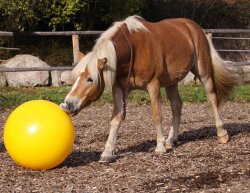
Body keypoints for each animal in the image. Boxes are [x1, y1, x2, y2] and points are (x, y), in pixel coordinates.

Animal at [60, 15, 238, 163]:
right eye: (75, 78)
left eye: (90, 79)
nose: (67, 104)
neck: (133, 47)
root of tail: (194, 27)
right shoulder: (119, 88)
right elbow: (116, 119)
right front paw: (107, 152)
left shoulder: (153, 86)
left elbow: (156, 116)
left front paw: (159, 147)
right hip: (171, 82)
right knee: (177, 105)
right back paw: (170, 140)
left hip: (203, 71)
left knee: (212, 98)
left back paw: (221, 133)